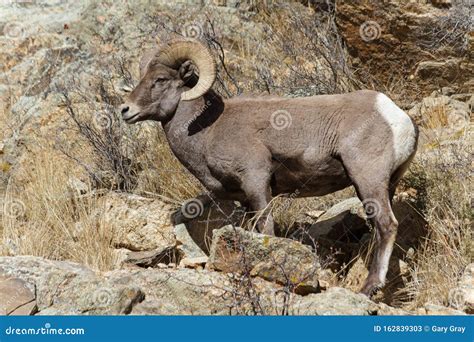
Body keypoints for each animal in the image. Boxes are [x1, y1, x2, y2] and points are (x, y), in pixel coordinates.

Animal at [121, 38, 418, 294]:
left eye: (160, 80)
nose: (125, 110)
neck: (207, 129)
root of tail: (396, 117)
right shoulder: (234, 196)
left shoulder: (256, 182)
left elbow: (266, 229)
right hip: (386, 185)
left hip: (367, 180)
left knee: (387, 225)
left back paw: (370, 288)